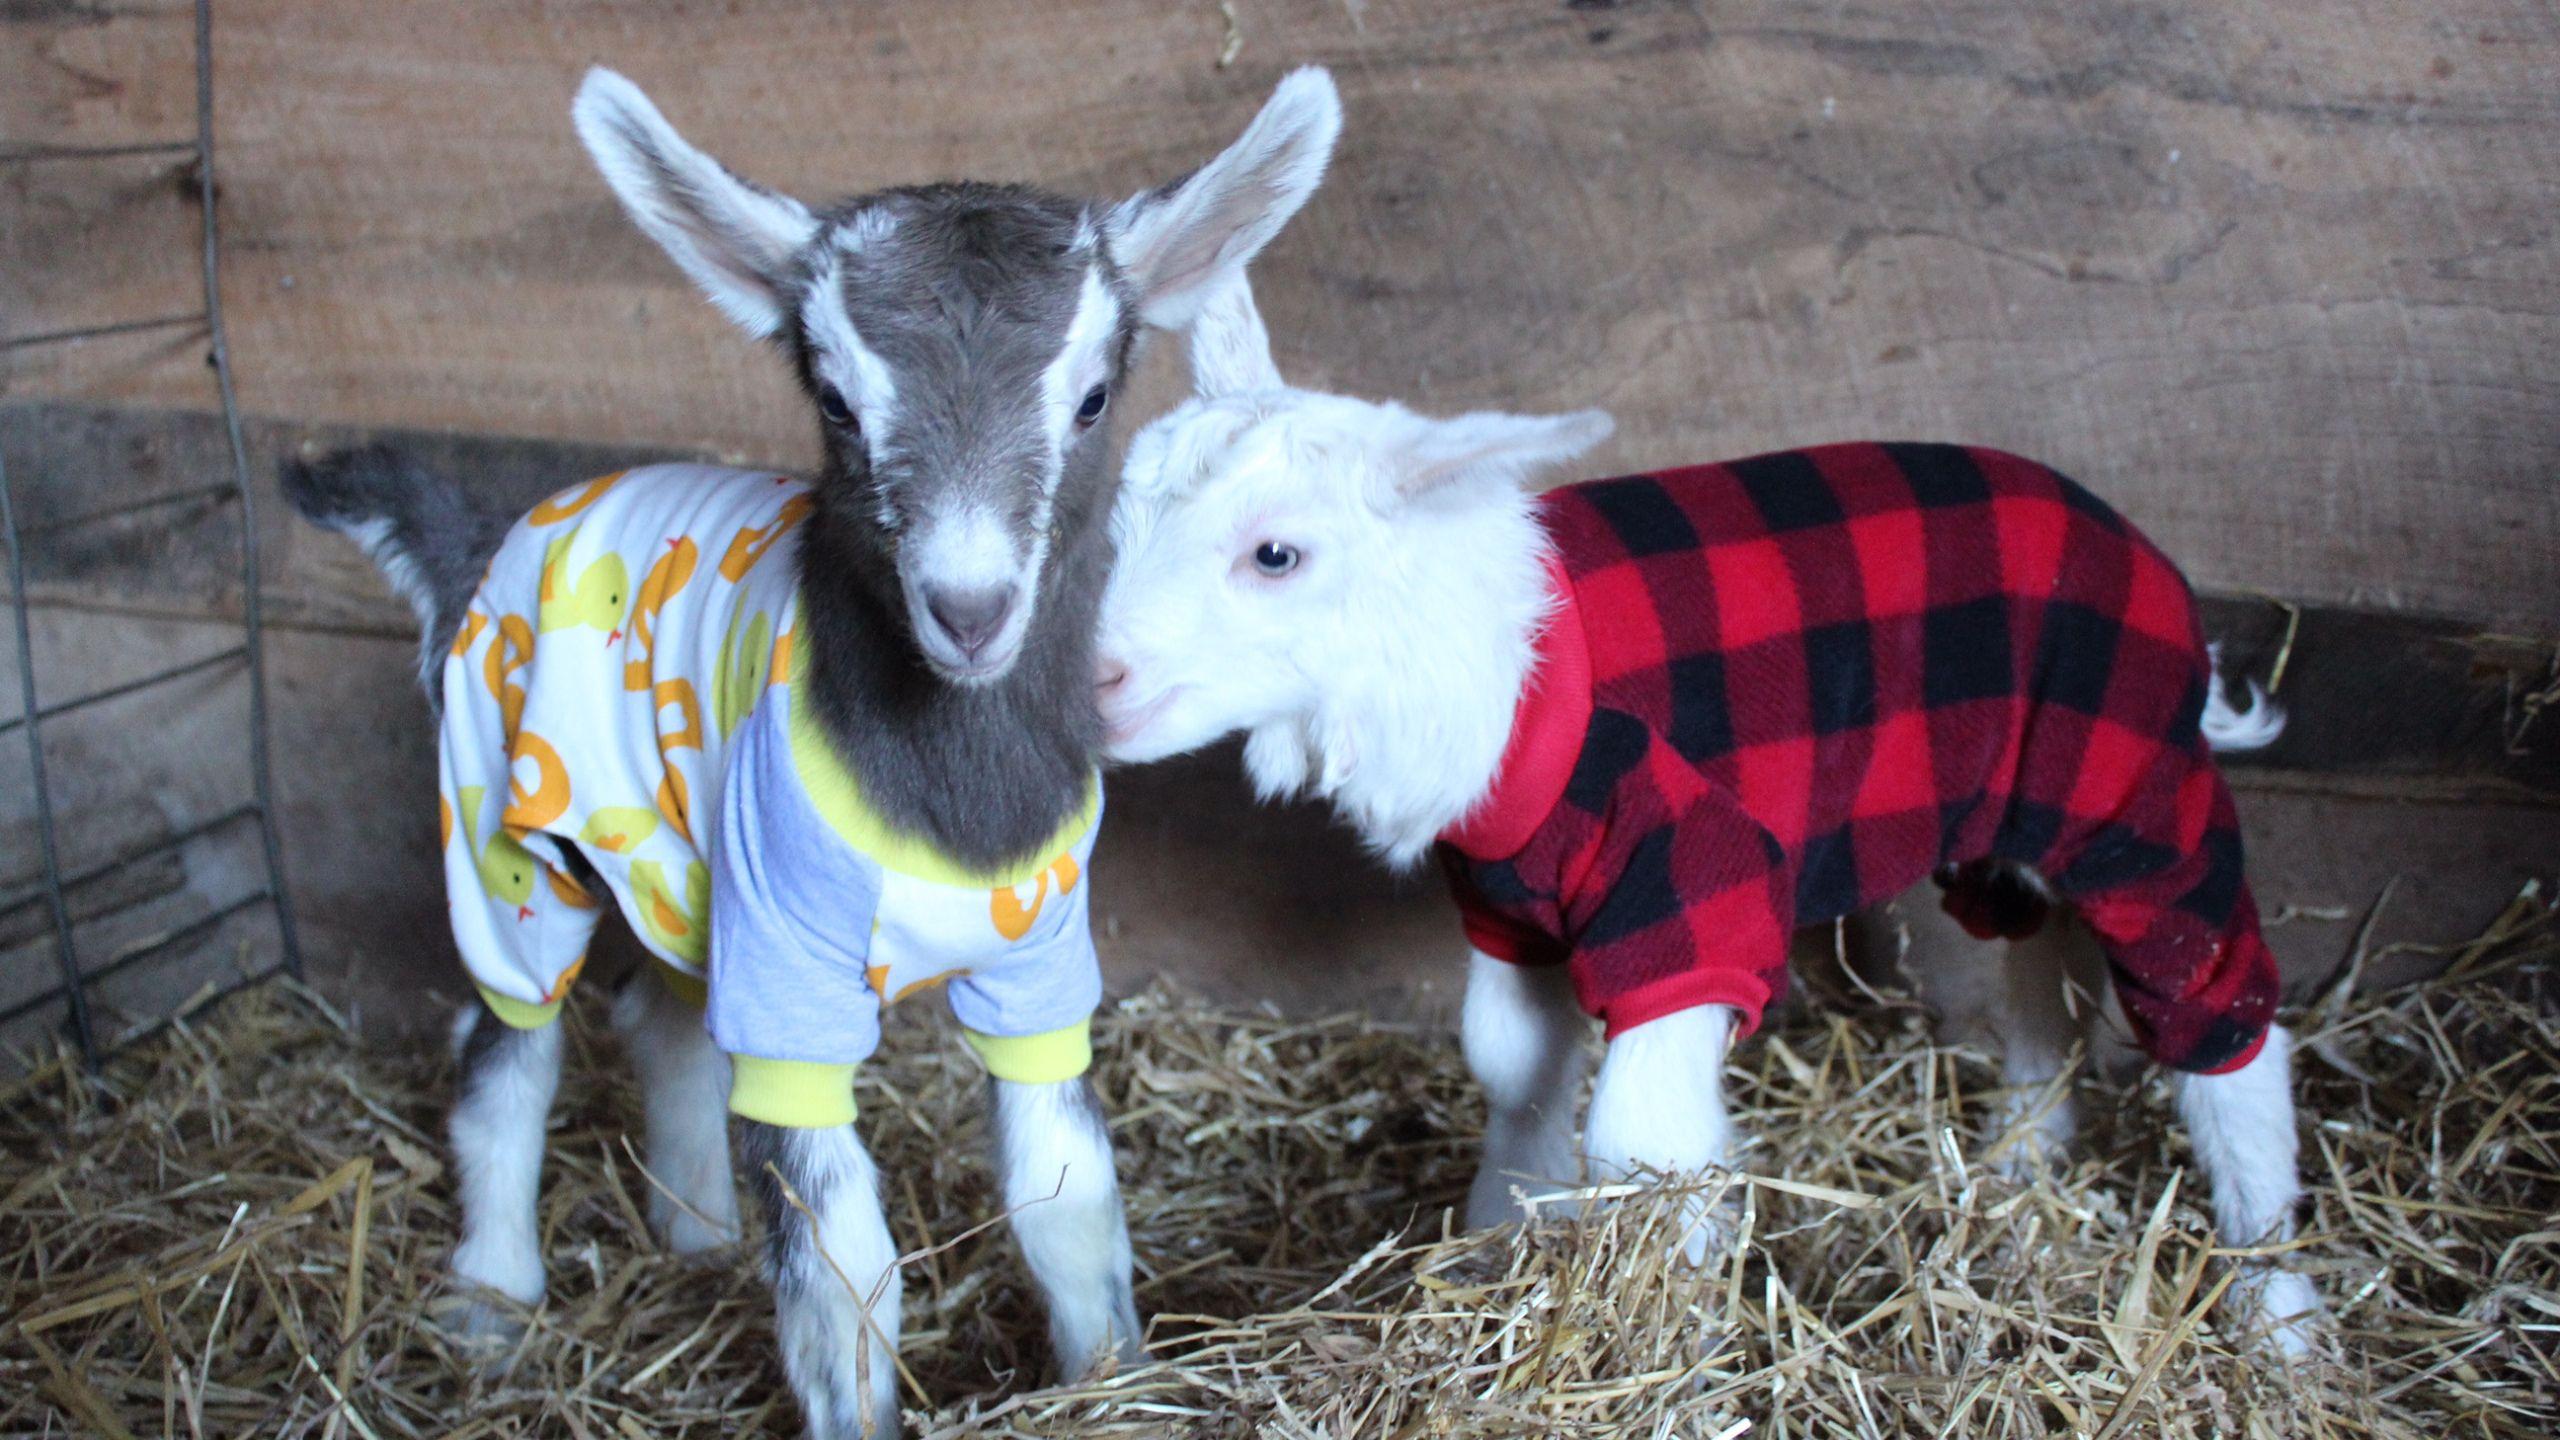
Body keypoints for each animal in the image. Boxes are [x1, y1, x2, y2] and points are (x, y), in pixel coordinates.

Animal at [284, 69, 1341, 1436]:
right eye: (835, 401)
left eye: (1095, 395)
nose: (967, 609)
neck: (947, 807)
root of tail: (491, 538)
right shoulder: (788, 963)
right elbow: (845, 1266)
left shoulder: (1041, 961)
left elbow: (1066, 1190)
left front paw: (1114, 1377)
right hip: (503, 826)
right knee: (507, 1045)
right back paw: (491, 1298)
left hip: (674, 859)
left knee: (664, 1017)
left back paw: (695, 1232)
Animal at [1091, 281, 2323, 1356]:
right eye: (1117, 519)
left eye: (1276, 554)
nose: (1090, 679)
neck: (1493, 662)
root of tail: (2149, 555)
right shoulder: (1513, 906)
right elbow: (1513, 1064)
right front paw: (1498, 1239)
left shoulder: (1691, 876)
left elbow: (1641, 1137)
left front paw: (1659, 1318)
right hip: (2020, 816)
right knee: (2043, 956)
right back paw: (2021, 1157)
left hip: (2130, 782)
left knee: (2216, 1008)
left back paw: (2276, 1299)